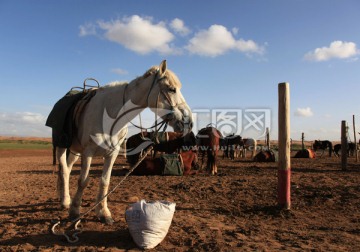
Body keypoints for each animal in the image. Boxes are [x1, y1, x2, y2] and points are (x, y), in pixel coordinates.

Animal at [50, 60, 194, 224]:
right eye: (172, 89)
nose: (189, 122)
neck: (109, 115)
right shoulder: (88, 152)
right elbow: (83, 181)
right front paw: (75, 212)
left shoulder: (112, 153)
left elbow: (105, 181)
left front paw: (103, 213)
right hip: (62, 146)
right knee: (64, 170)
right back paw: (65, 202)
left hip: (75, 151)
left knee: (67, 168)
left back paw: (66, 199)